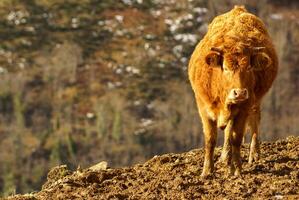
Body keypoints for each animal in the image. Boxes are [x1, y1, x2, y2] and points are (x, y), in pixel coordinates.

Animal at [190, 5, 278, 177]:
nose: (240, 93)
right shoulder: (203, 108)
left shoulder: (244, 108)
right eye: (225, 68)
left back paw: (253, 155)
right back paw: (225, 158)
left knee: (254, 121)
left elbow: (236, 138)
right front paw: (207, 171)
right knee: (227, 134)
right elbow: (210, 139)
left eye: (249, 67)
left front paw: (237, 169)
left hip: (255, 102)